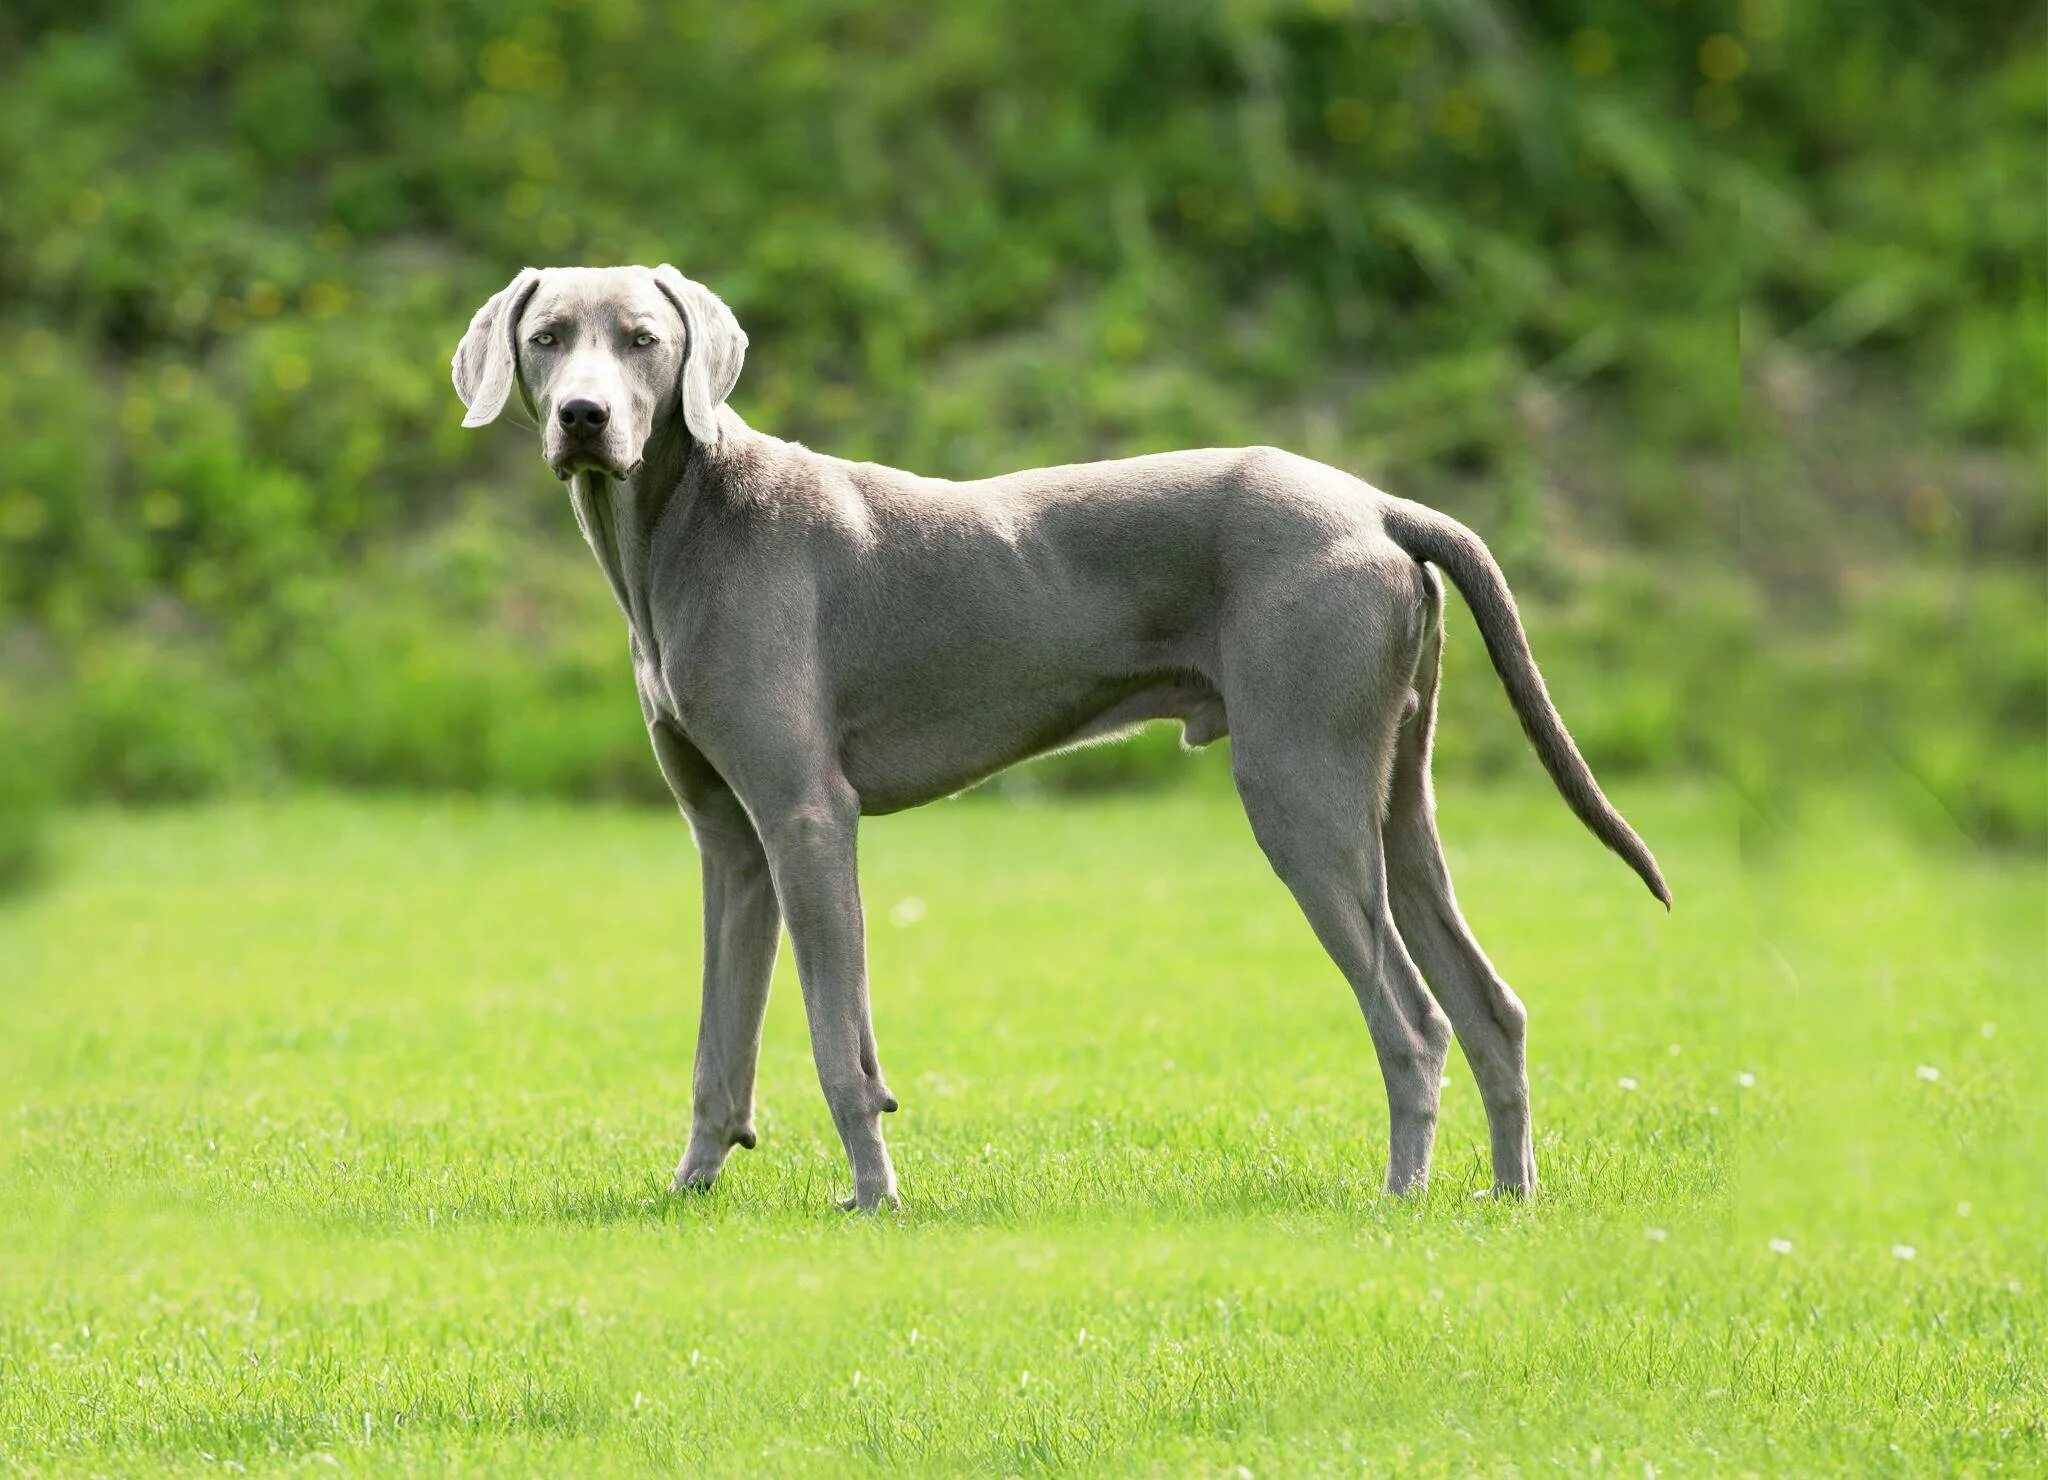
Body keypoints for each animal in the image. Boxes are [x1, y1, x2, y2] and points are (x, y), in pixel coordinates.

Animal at [448, 264, 1662, 1211]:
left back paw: (1399, 1201)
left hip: (1300, 793)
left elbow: (839, 1043)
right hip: (1394, 800)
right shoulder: (730, 844)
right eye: (547, 338)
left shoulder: (806, 821)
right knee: (1491, 1008)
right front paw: (689, 1191)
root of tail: (1377, 506)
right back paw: (1503, 1197)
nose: (584, 418)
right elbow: (719, 1046)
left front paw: (873, 1198)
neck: (684, 521)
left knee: (1413, 1021)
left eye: (643, 341)